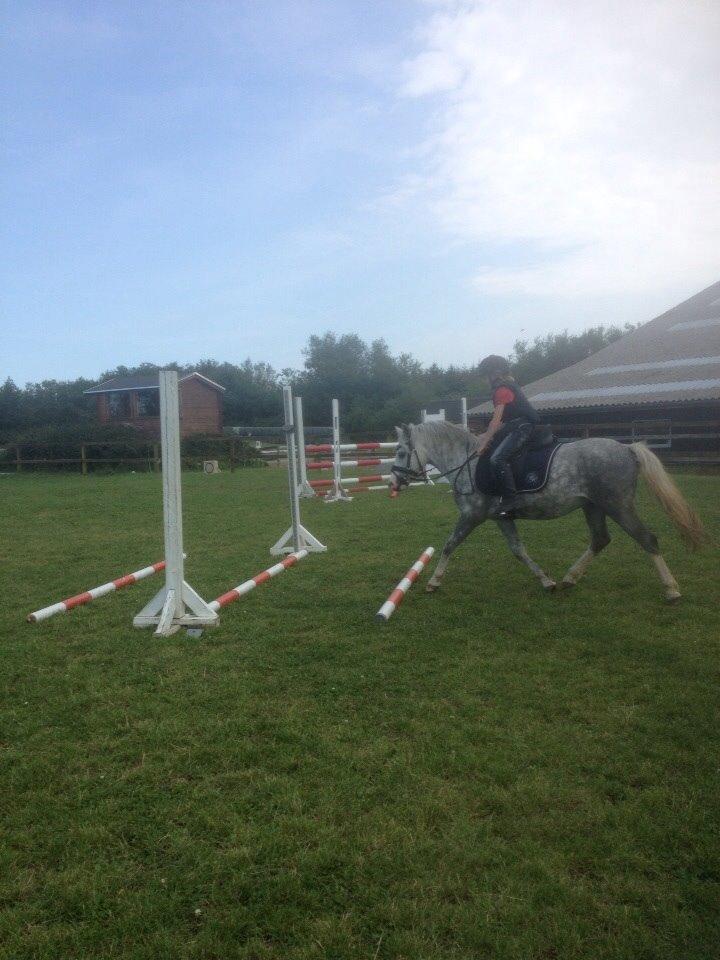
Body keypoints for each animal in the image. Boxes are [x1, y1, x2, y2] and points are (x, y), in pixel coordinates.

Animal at [390, 420, 704, 600]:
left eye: (401, 452)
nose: (393, 482)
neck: (467, 462)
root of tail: (627, 449)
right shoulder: (500, 518)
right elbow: (518, 550)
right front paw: (547, 581)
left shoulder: (472, 515)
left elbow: (449, 545)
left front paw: (433, 582)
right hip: (594, 507)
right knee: (600, 539)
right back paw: (569, 579)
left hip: (618, 505)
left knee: (647, 539)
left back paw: (671, 589)